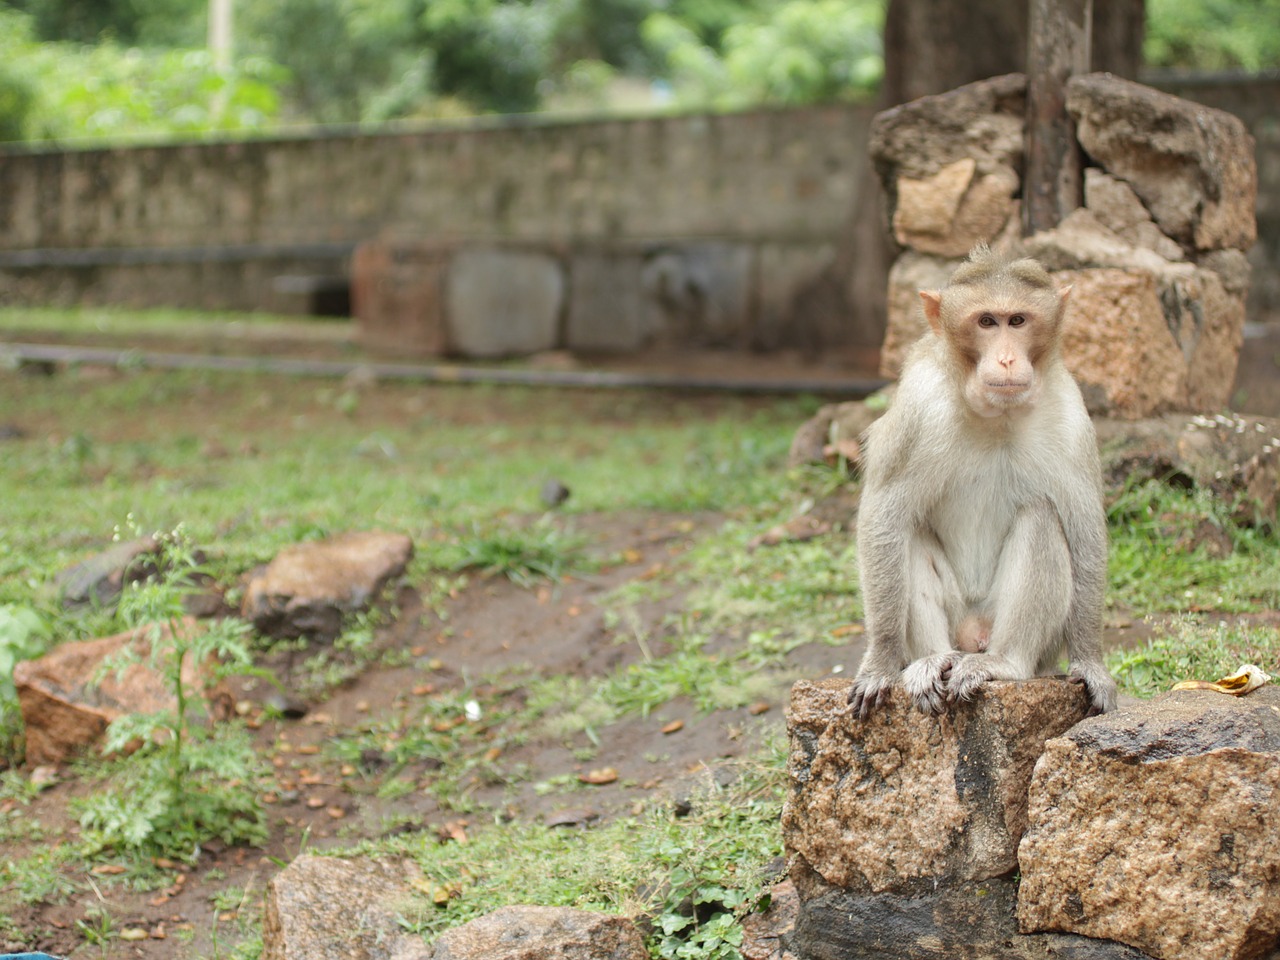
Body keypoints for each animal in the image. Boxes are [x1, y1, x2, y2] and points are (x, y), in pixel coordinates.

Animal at [849, 244, 1121, 716]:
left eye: (1018, 321)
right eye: (986, 322)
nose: (1007, 358)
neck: (996, 416)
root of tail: (973, 636)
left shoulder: (1071, 417)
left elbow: (1084, 531)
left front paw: (1090, 660)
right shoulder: (920, 406)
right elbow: (883, 518)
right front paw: (880, 661)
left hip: (1021, 637)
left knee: (1041, 516)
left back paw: (1004, 662)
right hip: (957, 617)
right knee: (907, 530)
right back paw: (931, 661)